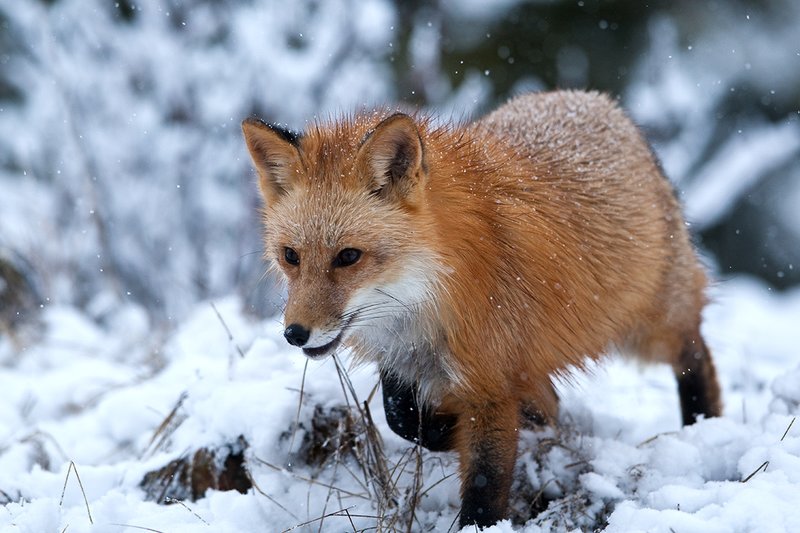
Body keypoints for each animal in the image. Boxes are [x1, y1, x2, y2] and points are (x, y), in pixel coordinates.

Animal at [242, 90, 722, 529]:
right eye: (290, 256)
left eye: (348, 257)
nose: (295, 333)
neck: (431, 298)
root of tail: (601, 102)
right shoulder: (406, 358)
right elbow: (403, 418)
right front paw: (494, 424)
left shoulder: (491, 385)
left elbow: (485, 482)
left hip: (650, 325)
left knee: (695, 354)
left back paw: (704, 423)